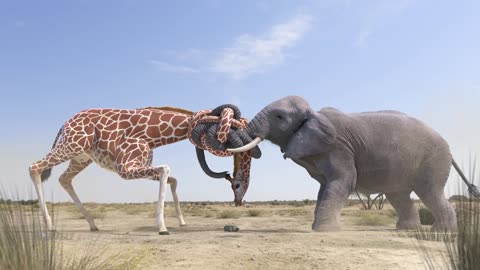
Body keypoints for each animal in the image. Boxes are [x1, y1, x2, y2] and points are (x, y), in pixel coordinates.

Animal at [29, 105, 255, 234]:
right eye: (235, 185)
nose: (239, 200)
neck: (153, 135)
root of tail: (65, 124)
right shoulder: (125, 169)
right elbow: (166, 170)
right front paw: (162, 228)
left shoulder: (139, 166)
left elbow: (172, 178)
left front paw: (181, 222)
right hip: (71, 146)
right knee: (35, 167)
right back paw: (49, 226)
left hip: (81, 157)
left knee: (64, 179)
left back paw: (93, 225)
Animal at [227, 96, 478, 231]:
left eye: (279, 117)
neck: (315, 115)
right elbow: (324, 187)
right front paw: (319, 228)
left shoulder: (338, 147)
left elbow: (343, 181)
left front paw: (325, 231)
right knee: (398, 196)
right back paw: (407, 229)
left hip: (433, 161)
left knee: (428, 192)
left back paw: (441, 231)